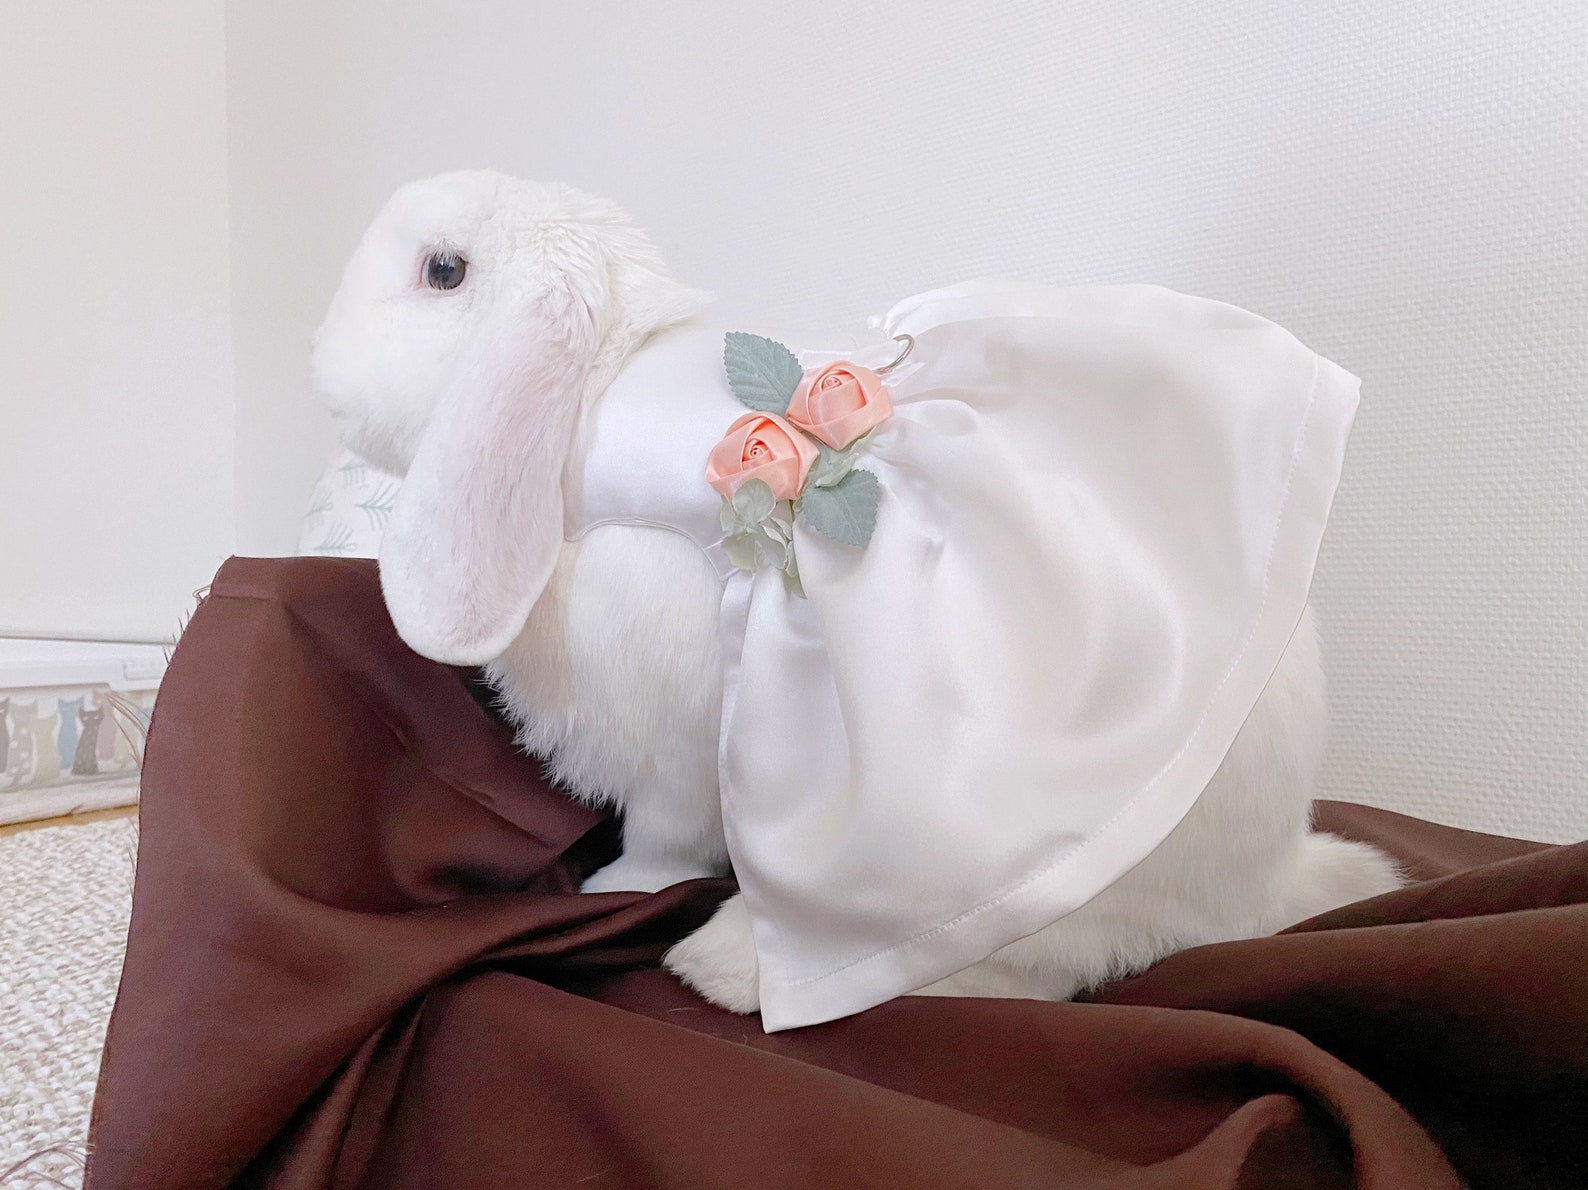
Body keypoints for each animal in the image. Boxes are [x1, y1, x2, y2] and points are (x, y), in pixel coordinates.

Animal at [313, 170, 1403, 1018]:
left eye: (443, 270)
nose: (321, 370)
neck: (599, 388)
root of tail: (1268, 875)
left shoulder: (668, 740)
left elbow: (663, 836)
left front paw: (614, 885)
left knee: (1034, 970)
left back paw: (724, 966)